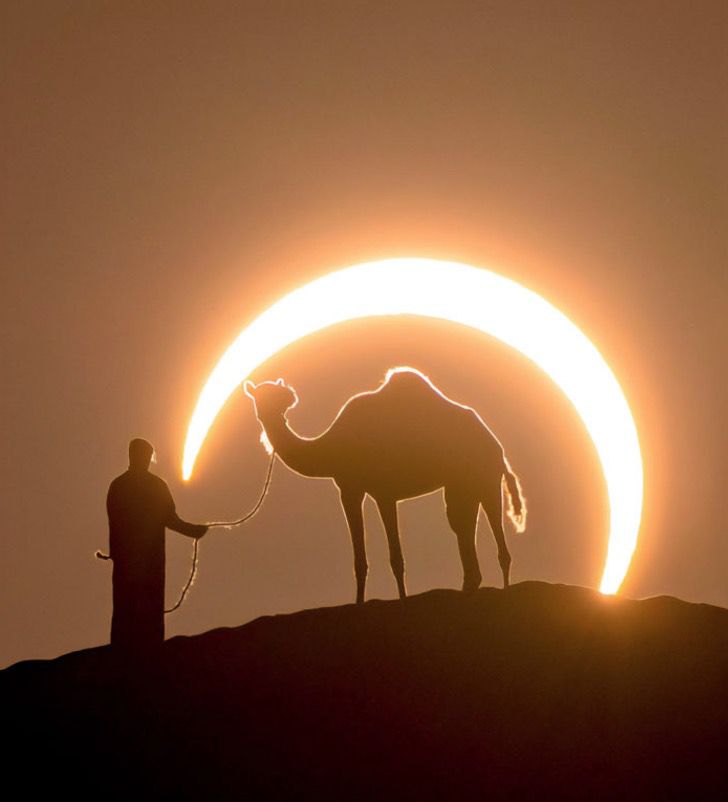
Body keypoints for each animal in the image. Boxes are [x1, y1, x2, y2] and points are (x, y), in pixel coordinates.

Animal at [247, 366, 528, 604]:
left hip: (486, 477)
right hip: (461, 484)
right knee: (462, 524)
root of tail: (497, 448)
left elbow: (395, 557)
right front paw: (359, 603)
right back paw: (469, 587)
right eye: (259, 398)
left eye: (278, 395)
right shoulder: (350, 488)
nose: (274, 408)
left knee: (494, 530)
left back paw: (503, 588)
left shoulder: (384, 492)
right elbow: (359, 560)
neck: (335, 445)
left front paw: (402, 600)